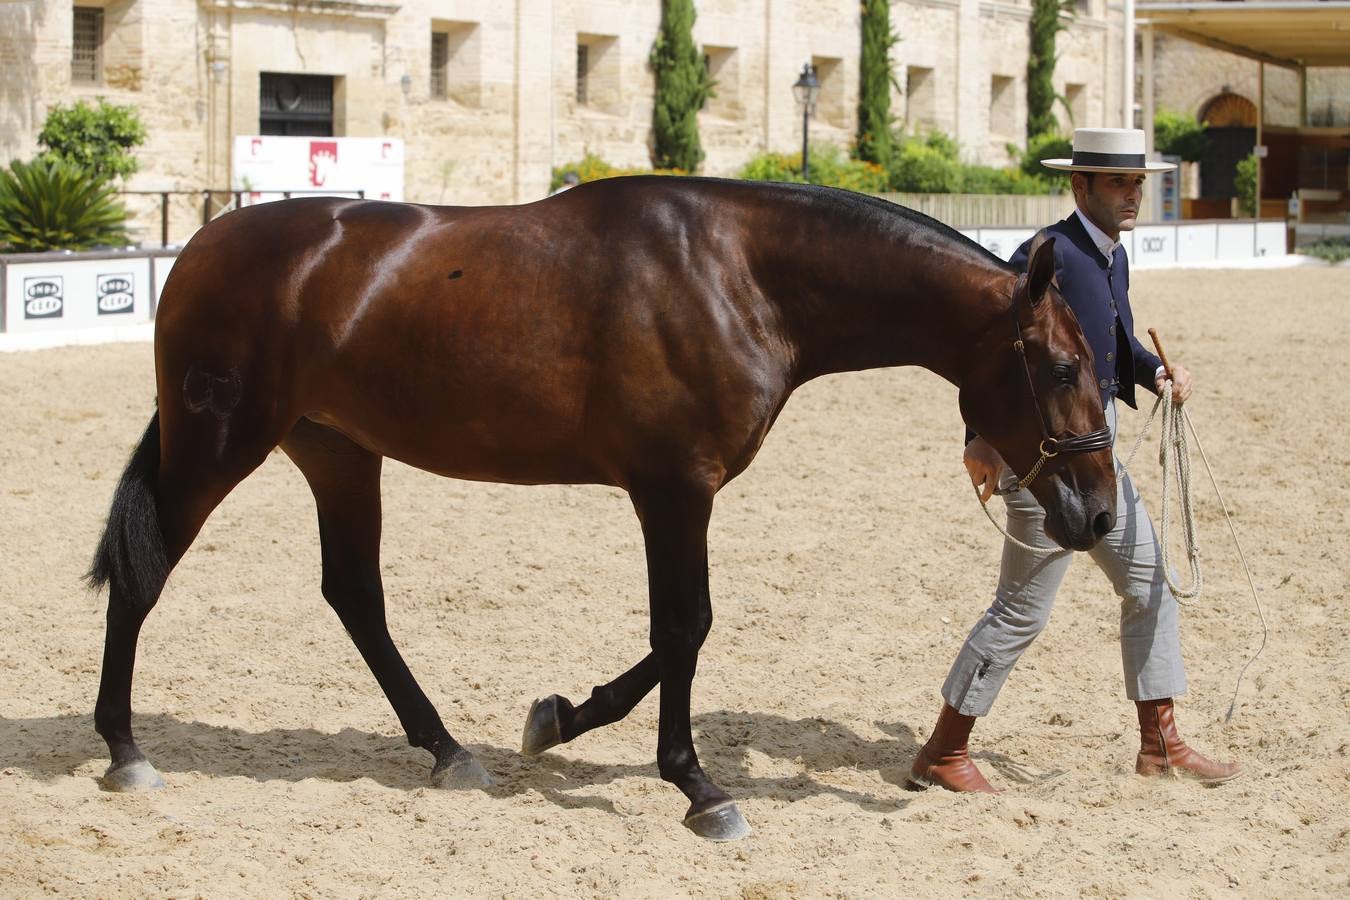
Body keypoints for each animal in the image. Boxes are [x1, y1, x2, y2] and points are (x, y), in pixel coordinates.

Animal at [87, 178, 1117, 847]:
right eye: (1065, 366)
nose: (1100, 515)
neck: (734, 273)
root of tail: (204, 248)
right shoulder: (674, 489)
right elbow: (686, 627)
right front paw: (698, 788)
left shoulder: (675, 493)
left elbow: (675, 635)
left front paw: (558, 718)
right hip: (218, 445)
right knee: (146, 577)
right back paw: (125, 751)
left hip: (337, 452)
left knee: (356, 597)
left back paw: (447, 750)